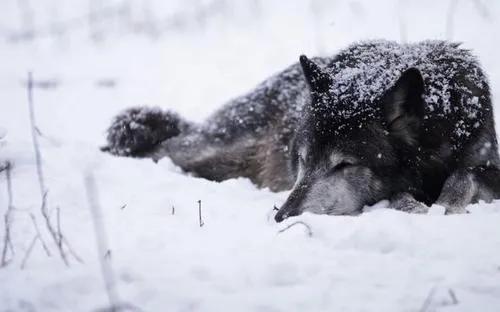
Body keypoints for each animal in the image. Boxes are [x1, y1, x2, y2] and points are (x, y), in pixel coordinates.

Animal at [100, 40, 500, 222]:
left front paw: (445, 204)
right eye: (303, 160)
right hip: (212, 150)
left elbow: (465, 173)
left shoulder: (486, 162)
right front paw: (417, 205)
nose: (282, 216)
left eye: (344, 165)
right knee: (160, 148)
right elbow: (404, 195)